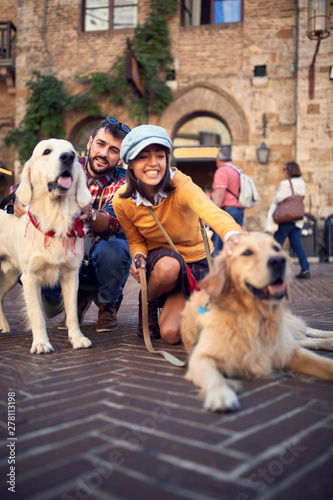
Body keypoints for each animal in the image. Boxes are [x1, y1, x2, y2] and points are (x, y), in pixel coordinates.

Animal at [0, 139, 92, 354]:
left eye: (72, 152)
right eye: (47, 151)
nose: (68, 157)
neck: (55, 217)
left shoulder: (70, 274)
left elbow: (72, 313)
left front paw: (77, 339)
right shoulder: (30, 278)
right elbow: (37, 315)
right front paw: (41, 343)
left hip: (10, 276)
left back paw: (4, 326)